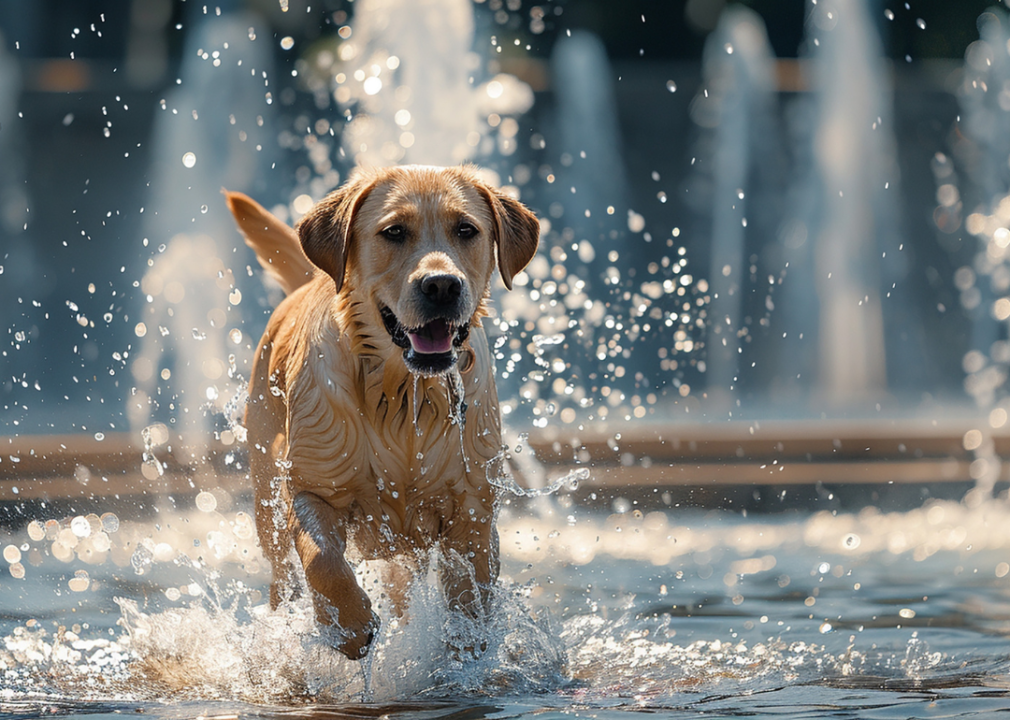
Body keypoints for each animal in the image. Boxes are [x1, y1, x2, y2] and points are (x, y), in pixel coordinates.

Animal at [221, 165, 537, 658]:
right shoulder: (313, 487)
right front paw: (349, 627)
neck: (403, 394)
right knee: (283, 576)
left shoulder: (474, 511)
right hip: (265, 500)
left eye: (466, 230)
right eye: (394, 232)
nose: (442, 285)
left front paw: (465, 653)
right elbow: (323, 560)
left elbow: (471, 594)